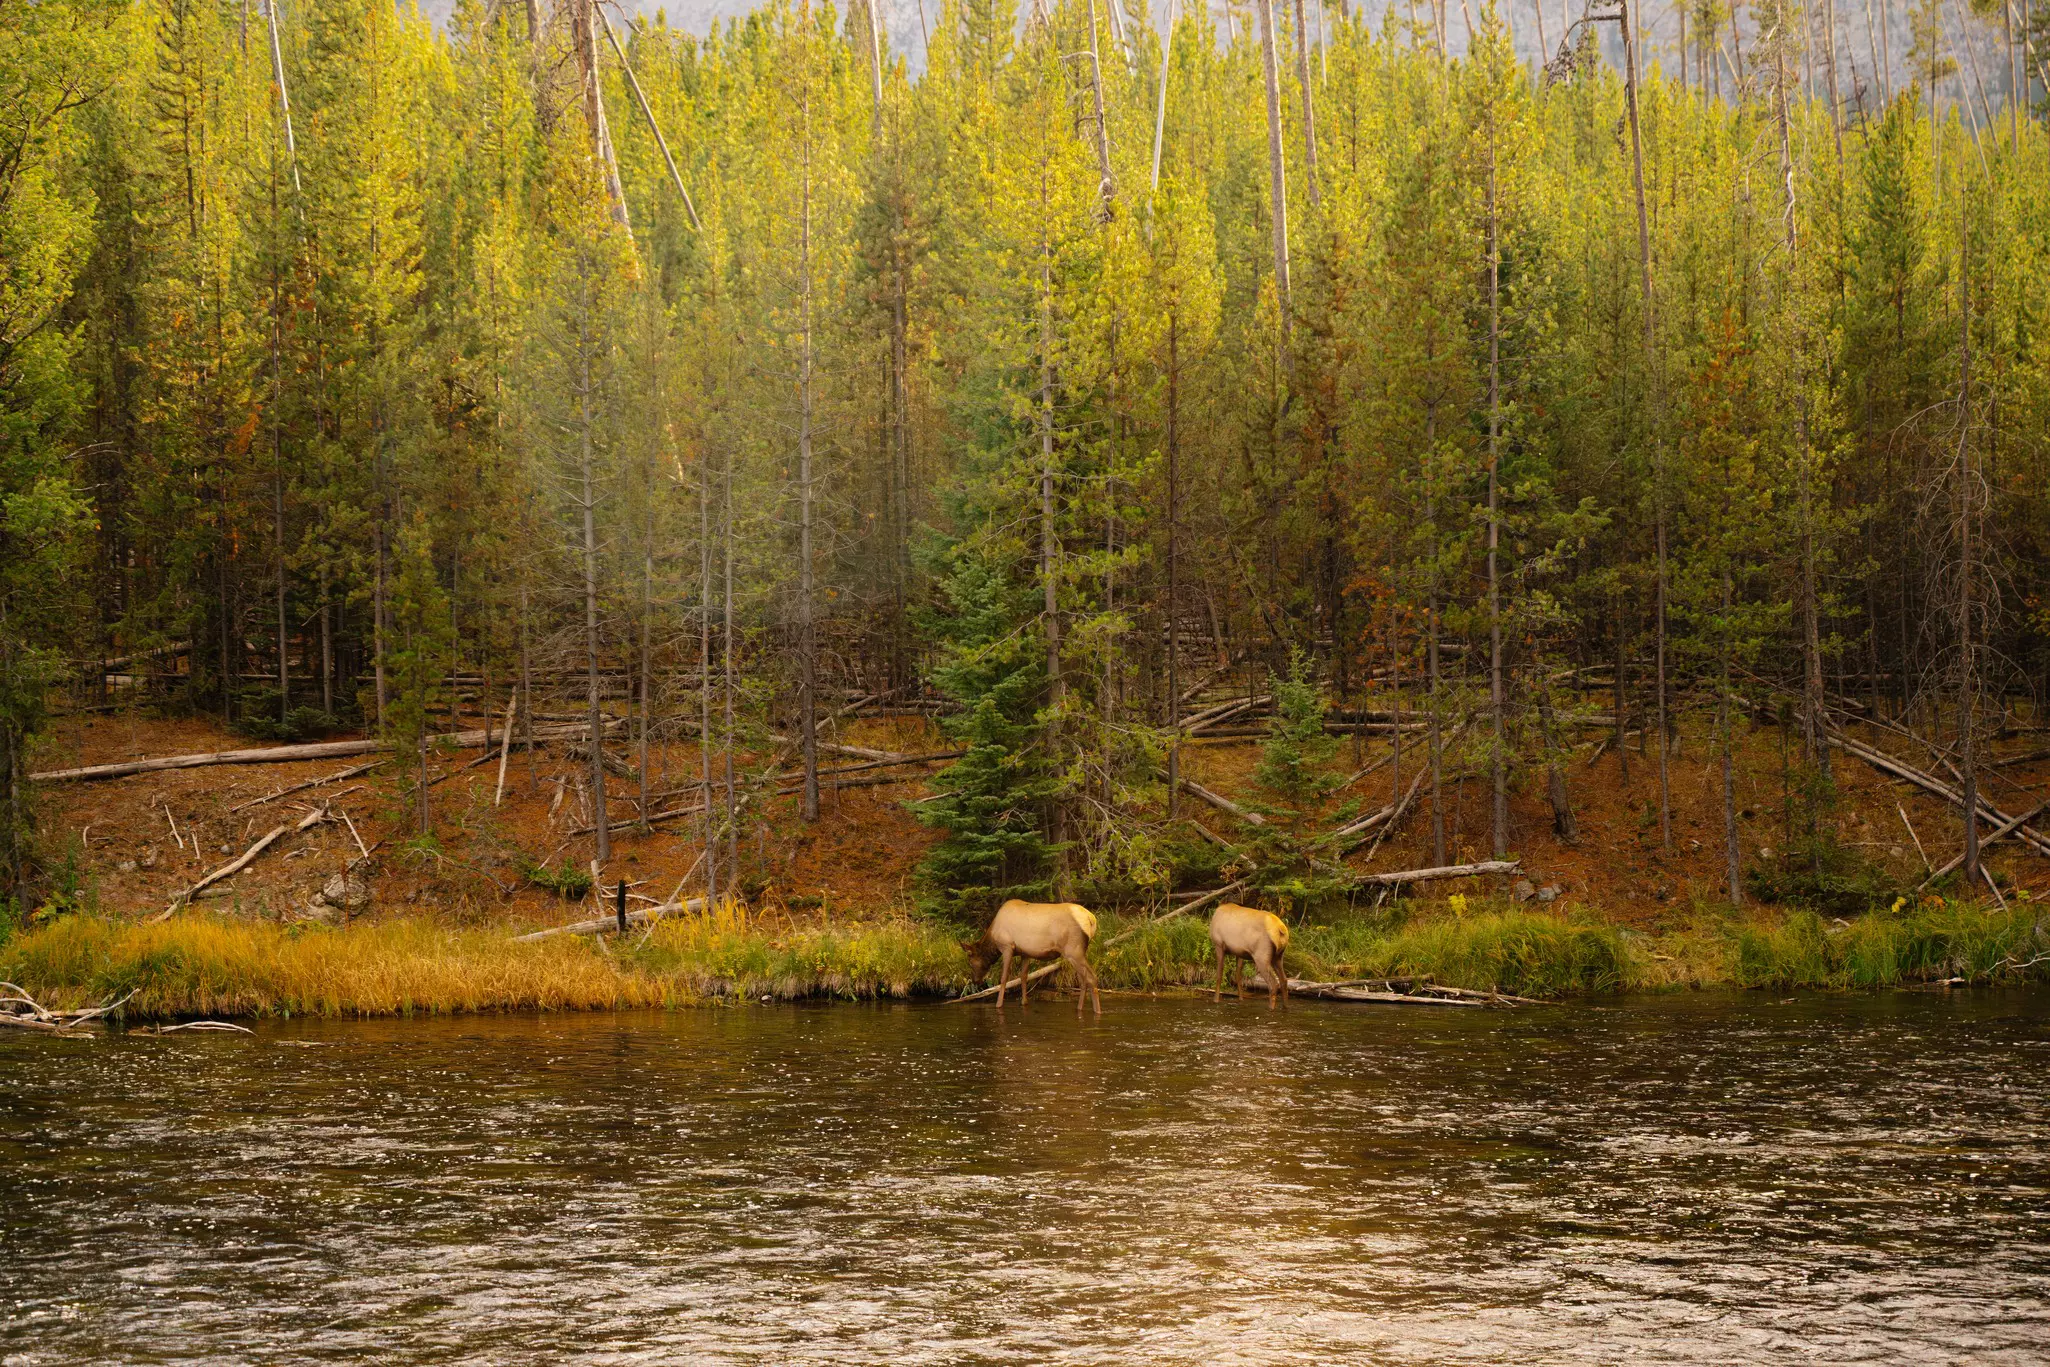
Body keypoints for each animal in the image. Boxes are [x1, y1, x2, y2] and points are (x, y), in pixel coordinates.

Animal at [963, 899, 1103, 1016]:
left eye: (970, 962)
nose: (975, 980)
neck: (993, 940)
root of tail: (1091, 920)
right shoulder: (1025, 953)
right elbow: (1023, 976)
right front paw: (1024, 1002)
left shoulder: (1007, 947)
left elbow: (1004, 978)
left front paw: (998, 1005)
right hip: (1079, 952)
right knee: (1083, 979)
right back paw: (1079, 1008)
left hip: (1073, 951)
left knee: (1091, 977)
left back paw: (1097, 1011)